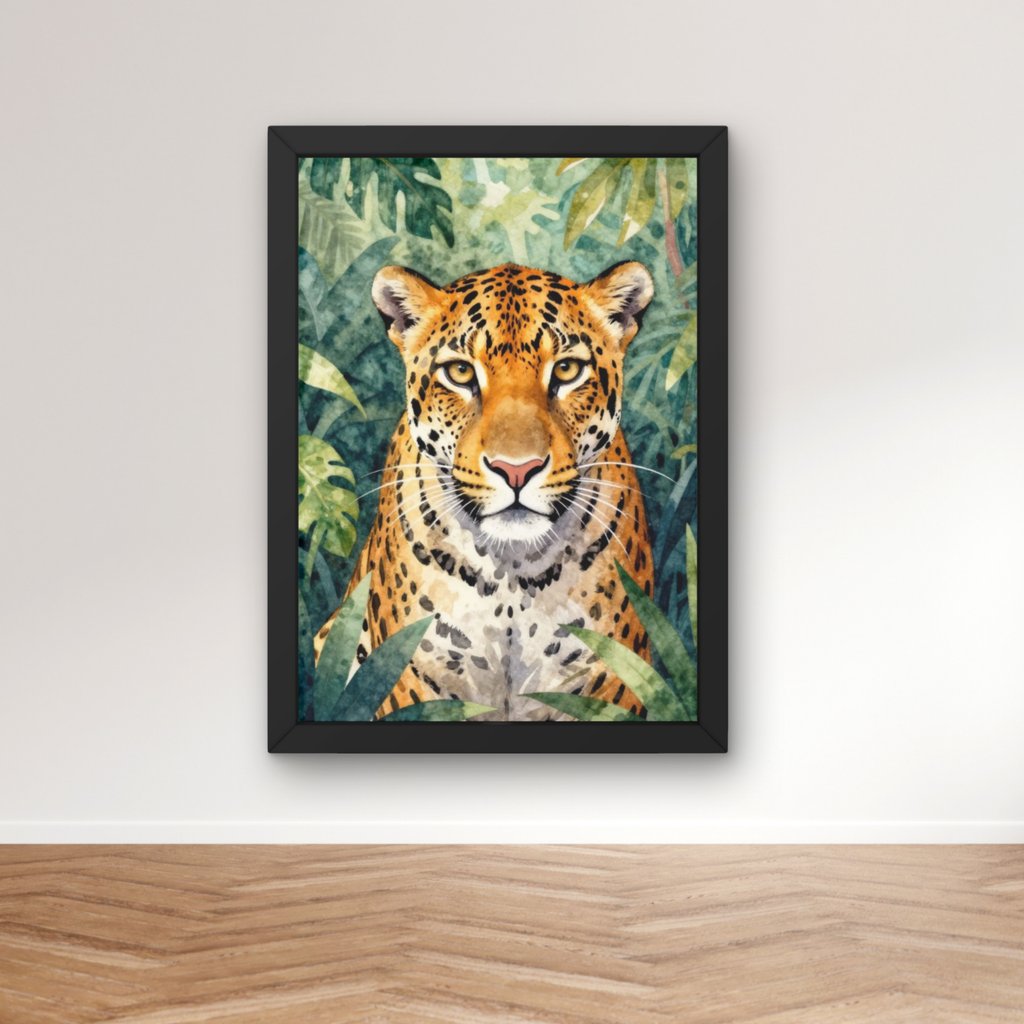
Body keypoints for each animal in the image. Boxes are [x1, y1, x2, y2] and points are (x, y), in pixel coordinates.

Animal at [313, 261, 657, 721]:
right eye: (459, 373)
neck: (511, 572)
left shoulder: (611, 679)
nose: (516, 469)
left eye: (567, 370)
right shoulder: (408, 678)